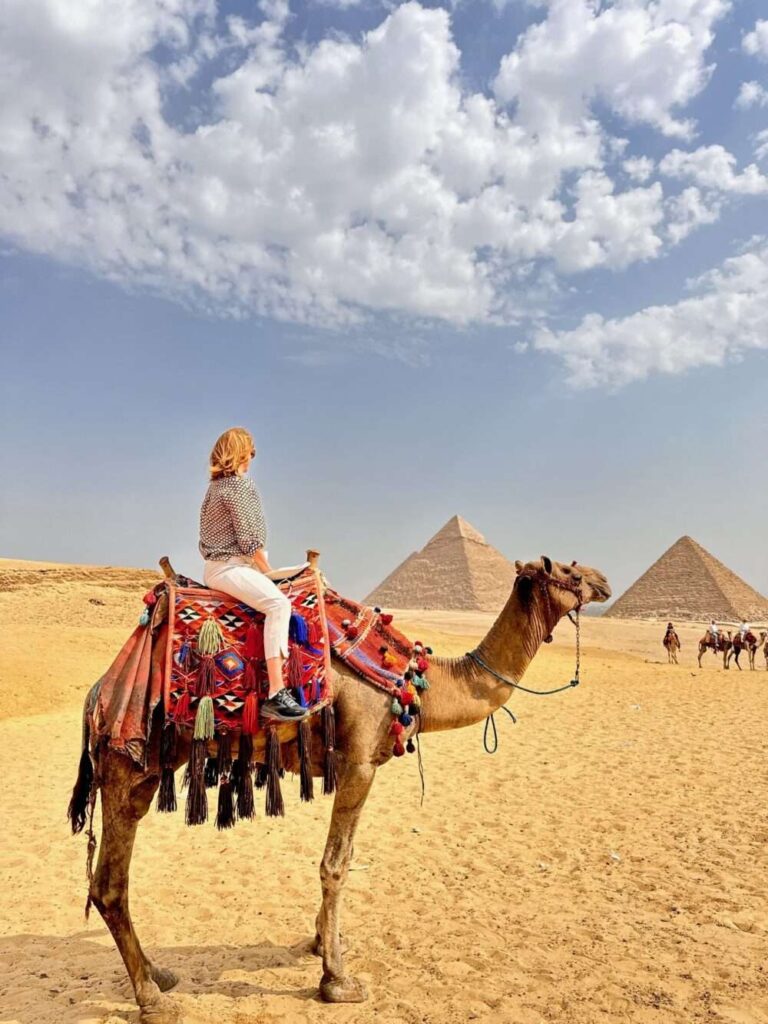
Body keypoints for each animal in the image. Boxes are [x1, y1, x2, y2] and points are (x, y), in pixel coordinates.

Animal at [68, 554, 610, 1024]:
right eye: (567, 570)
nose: (603, 580)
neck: (414, 683)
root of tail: (99, 693)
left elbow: (341, 859)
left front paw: (321, 943)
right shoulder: (359, 764)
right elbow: (336, 864)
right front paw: (337, 979)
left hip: (141, 775)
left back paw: (159, 974)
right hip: (128, 766)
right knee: (109, 885)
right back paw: (153, 999)